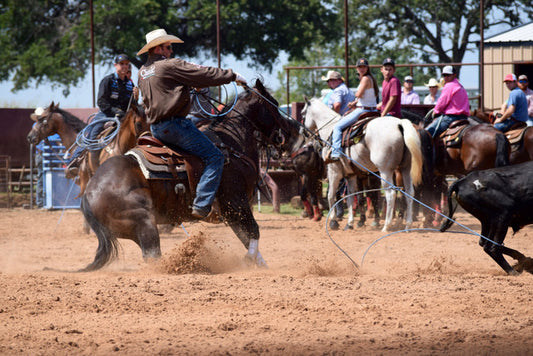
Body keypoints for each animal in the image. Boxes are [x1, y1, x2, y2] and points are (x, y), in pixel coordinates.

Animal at [79, 79, 286, 272]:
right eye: (274, 104)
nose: (283, 137)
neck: (231, 145)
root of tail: (90, 192)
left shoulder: (233, 211)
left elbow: (246, 236)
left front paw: (262, 265)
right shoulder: (235, 202)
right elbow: (254, 232)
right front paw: (248, 261)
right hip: (144, 222)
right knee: (153, 256)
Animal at [302, 97, 422, 232]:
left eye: (303, 113)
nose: (303, 132)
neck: (330, 129)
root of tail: (399, 124)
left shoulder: (334, 171)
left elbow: (331, 195)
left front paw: (333, 222)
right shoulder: (350, 175)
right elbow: (350, 197)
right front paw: (350, 223)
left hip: (385, 171)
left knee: (391, 194)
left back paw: (386, 226)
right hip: (406, 168)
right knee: (410, 193)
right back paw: (408, 225)